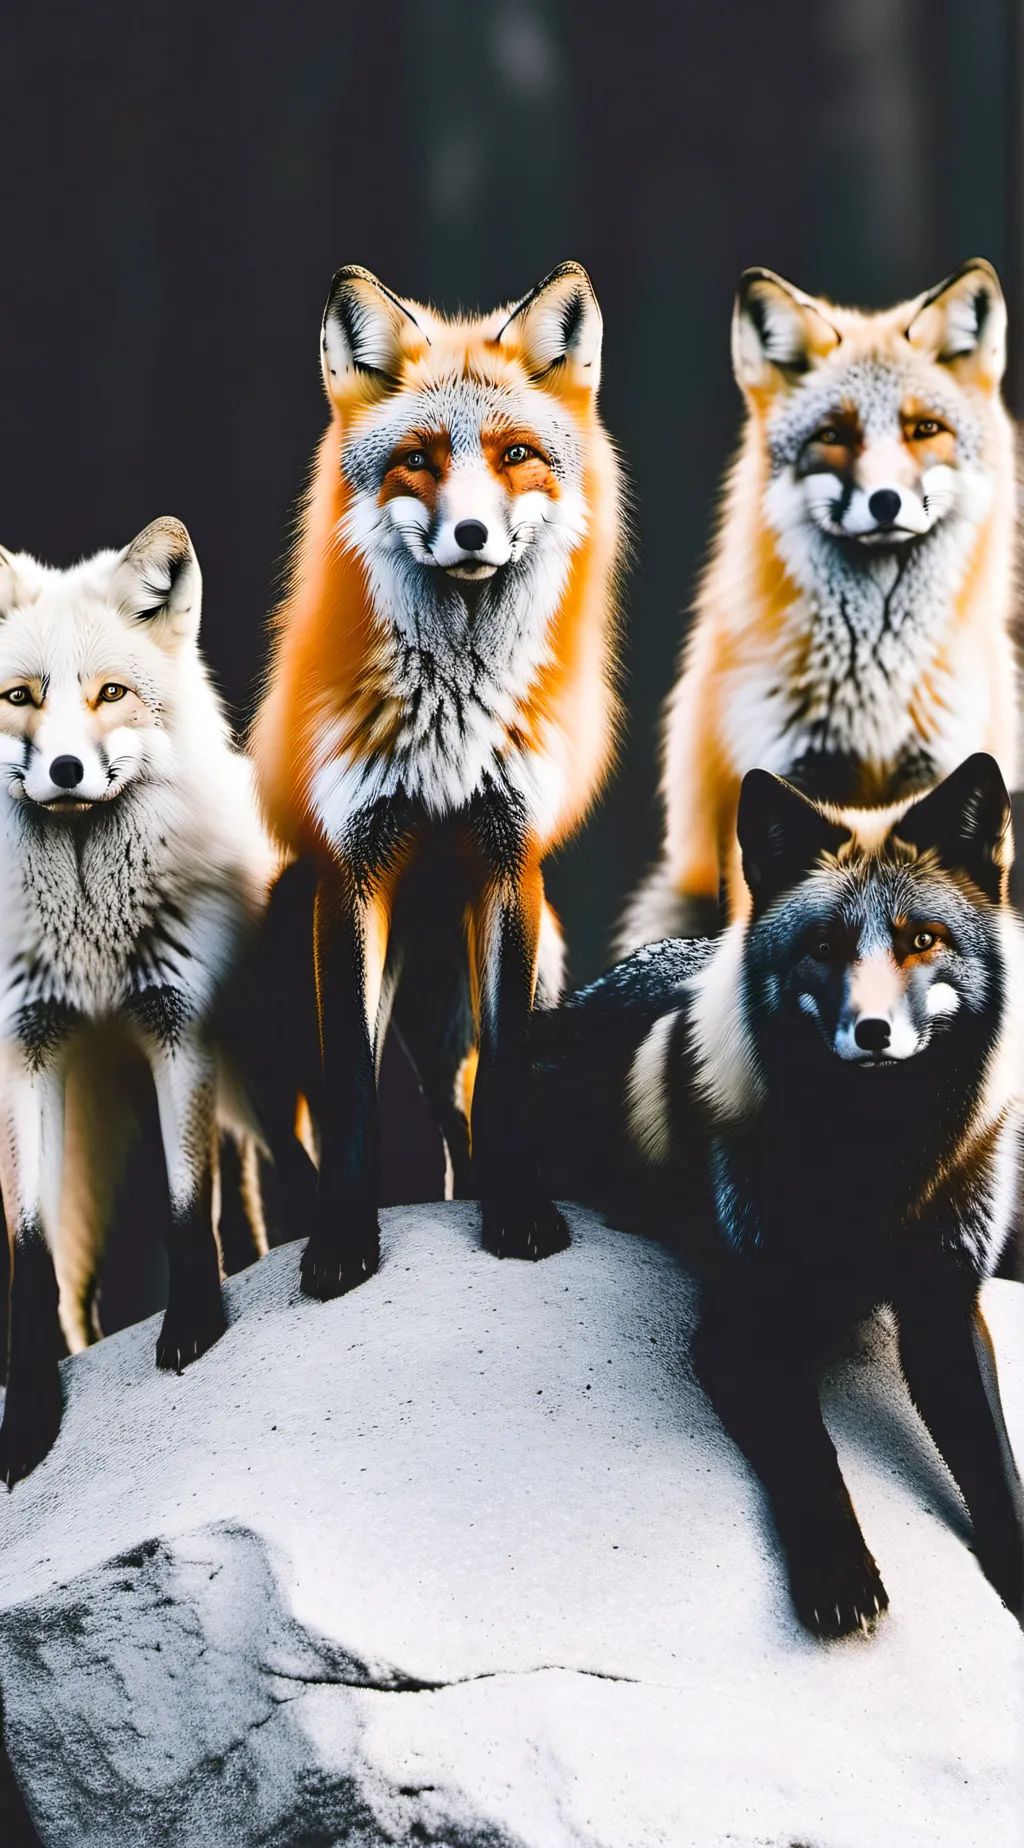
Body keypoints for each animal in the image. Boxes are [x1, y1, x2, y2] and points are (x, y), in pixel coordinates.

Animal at [0, 520, 274, 1483]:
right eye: (19, 697)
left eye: (111, 693)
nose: (66, 770)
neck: (91, 942)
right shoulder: (23, 1051)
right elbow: (26, 1255)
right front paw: (28, 1414)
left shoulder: (174, 1023)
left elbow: (189, 1205)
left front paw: (193, 1327)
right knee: (79, 1293)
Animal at [251, 260, 624, 1297]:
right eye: (417, 458)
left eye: (516, 455)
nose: (470, 534)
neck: (450, 721)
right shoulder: (354, 870)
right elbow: (353, 1094)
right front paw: (344, 1238)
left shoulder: (508, 862)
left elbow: (505, 1083)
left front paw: (520, 1212)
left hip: (509, 983)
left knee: (464, 1115)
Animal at [533, 754, 1024, 1637]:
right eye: (824, 946)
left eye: (922, 940)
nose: (871, 1031)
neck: (874, 1166)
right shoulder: (743, 1324)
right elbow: (810, 1451)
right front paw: (839, 1571)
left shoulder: (944, 1308)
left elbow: (1001, 1484)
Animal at [620, 258, 1018, 951]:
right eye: (834, 435)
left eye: (924, 430)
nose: (885, 502)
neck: (877, 687)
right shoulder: (779, 776)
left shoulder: (939, 770)